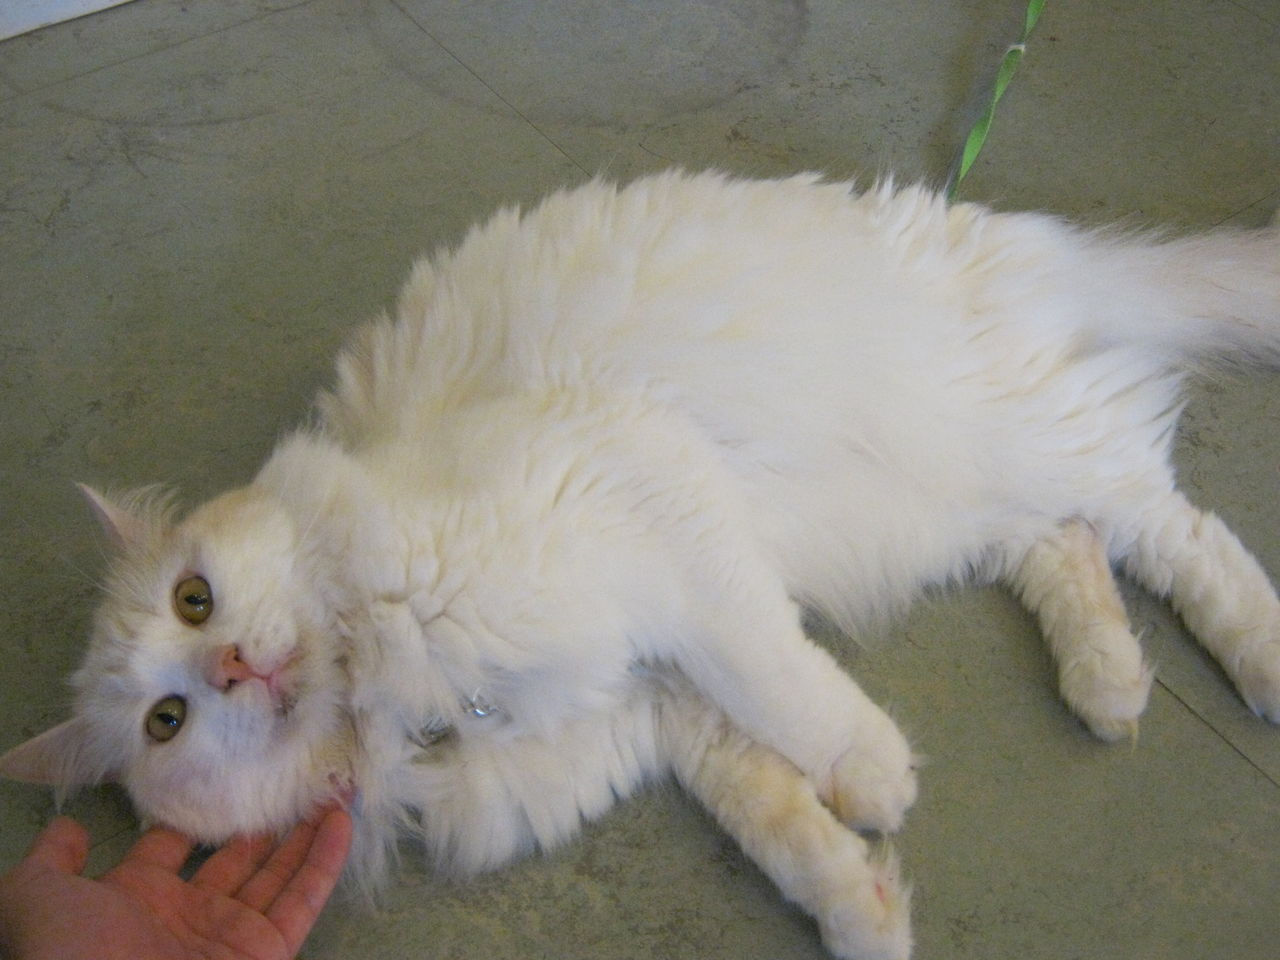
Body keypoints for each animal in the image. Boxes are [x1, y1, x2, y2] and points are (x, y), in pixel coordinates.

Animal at [3, 170, 1279, 960]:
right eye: (166, 722)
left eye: (196, 597)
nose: (228, 671)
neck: (389, 698)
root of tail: (1005, 240)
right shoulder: (659, 703)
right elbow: (772, 816)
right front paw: (864, 905)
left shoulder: (652, 509)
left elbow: (782, 686)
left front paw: (873, 772)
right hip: (958, 500)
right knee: (1065, 548)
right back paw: (1106, 684)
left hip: (1012, 439)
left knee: (1173, 527)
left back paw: (1256, 660)